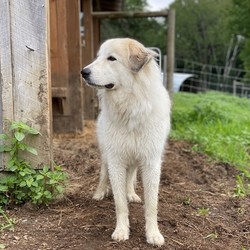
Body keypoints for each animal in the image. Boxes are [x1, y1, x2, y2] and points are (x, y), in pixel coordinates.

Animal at [81, 37, 171, 246]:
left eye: (111, 58)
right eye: (98, 57)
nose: (83, 72)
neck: (131, 107)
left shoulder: (151, 162)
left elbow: (152, 205)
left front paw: (153, 234)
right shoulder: (116, 160)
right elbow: (120, 203)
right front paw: (121, 231)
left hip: (134, 158)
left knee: (130, 176)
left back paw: (131, 194)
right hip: (107, 155)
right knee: (103, 174)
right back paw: (99, 193)